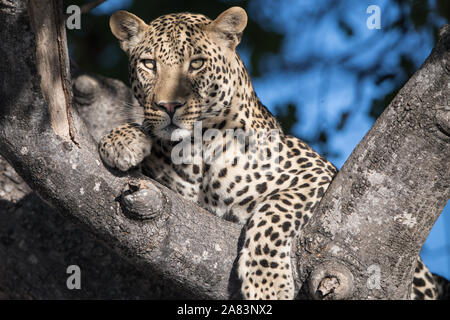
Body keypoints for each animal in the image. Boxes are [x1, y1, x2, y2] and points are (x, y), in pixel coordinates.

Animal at [98, 5, 446, 300]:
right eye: (149, 64)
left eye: (196, 63)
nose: (168, 106)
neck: (196, 150)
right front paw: (121, 139)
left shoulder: (319, 173)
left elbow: (275, 210)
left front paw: (268, 285)